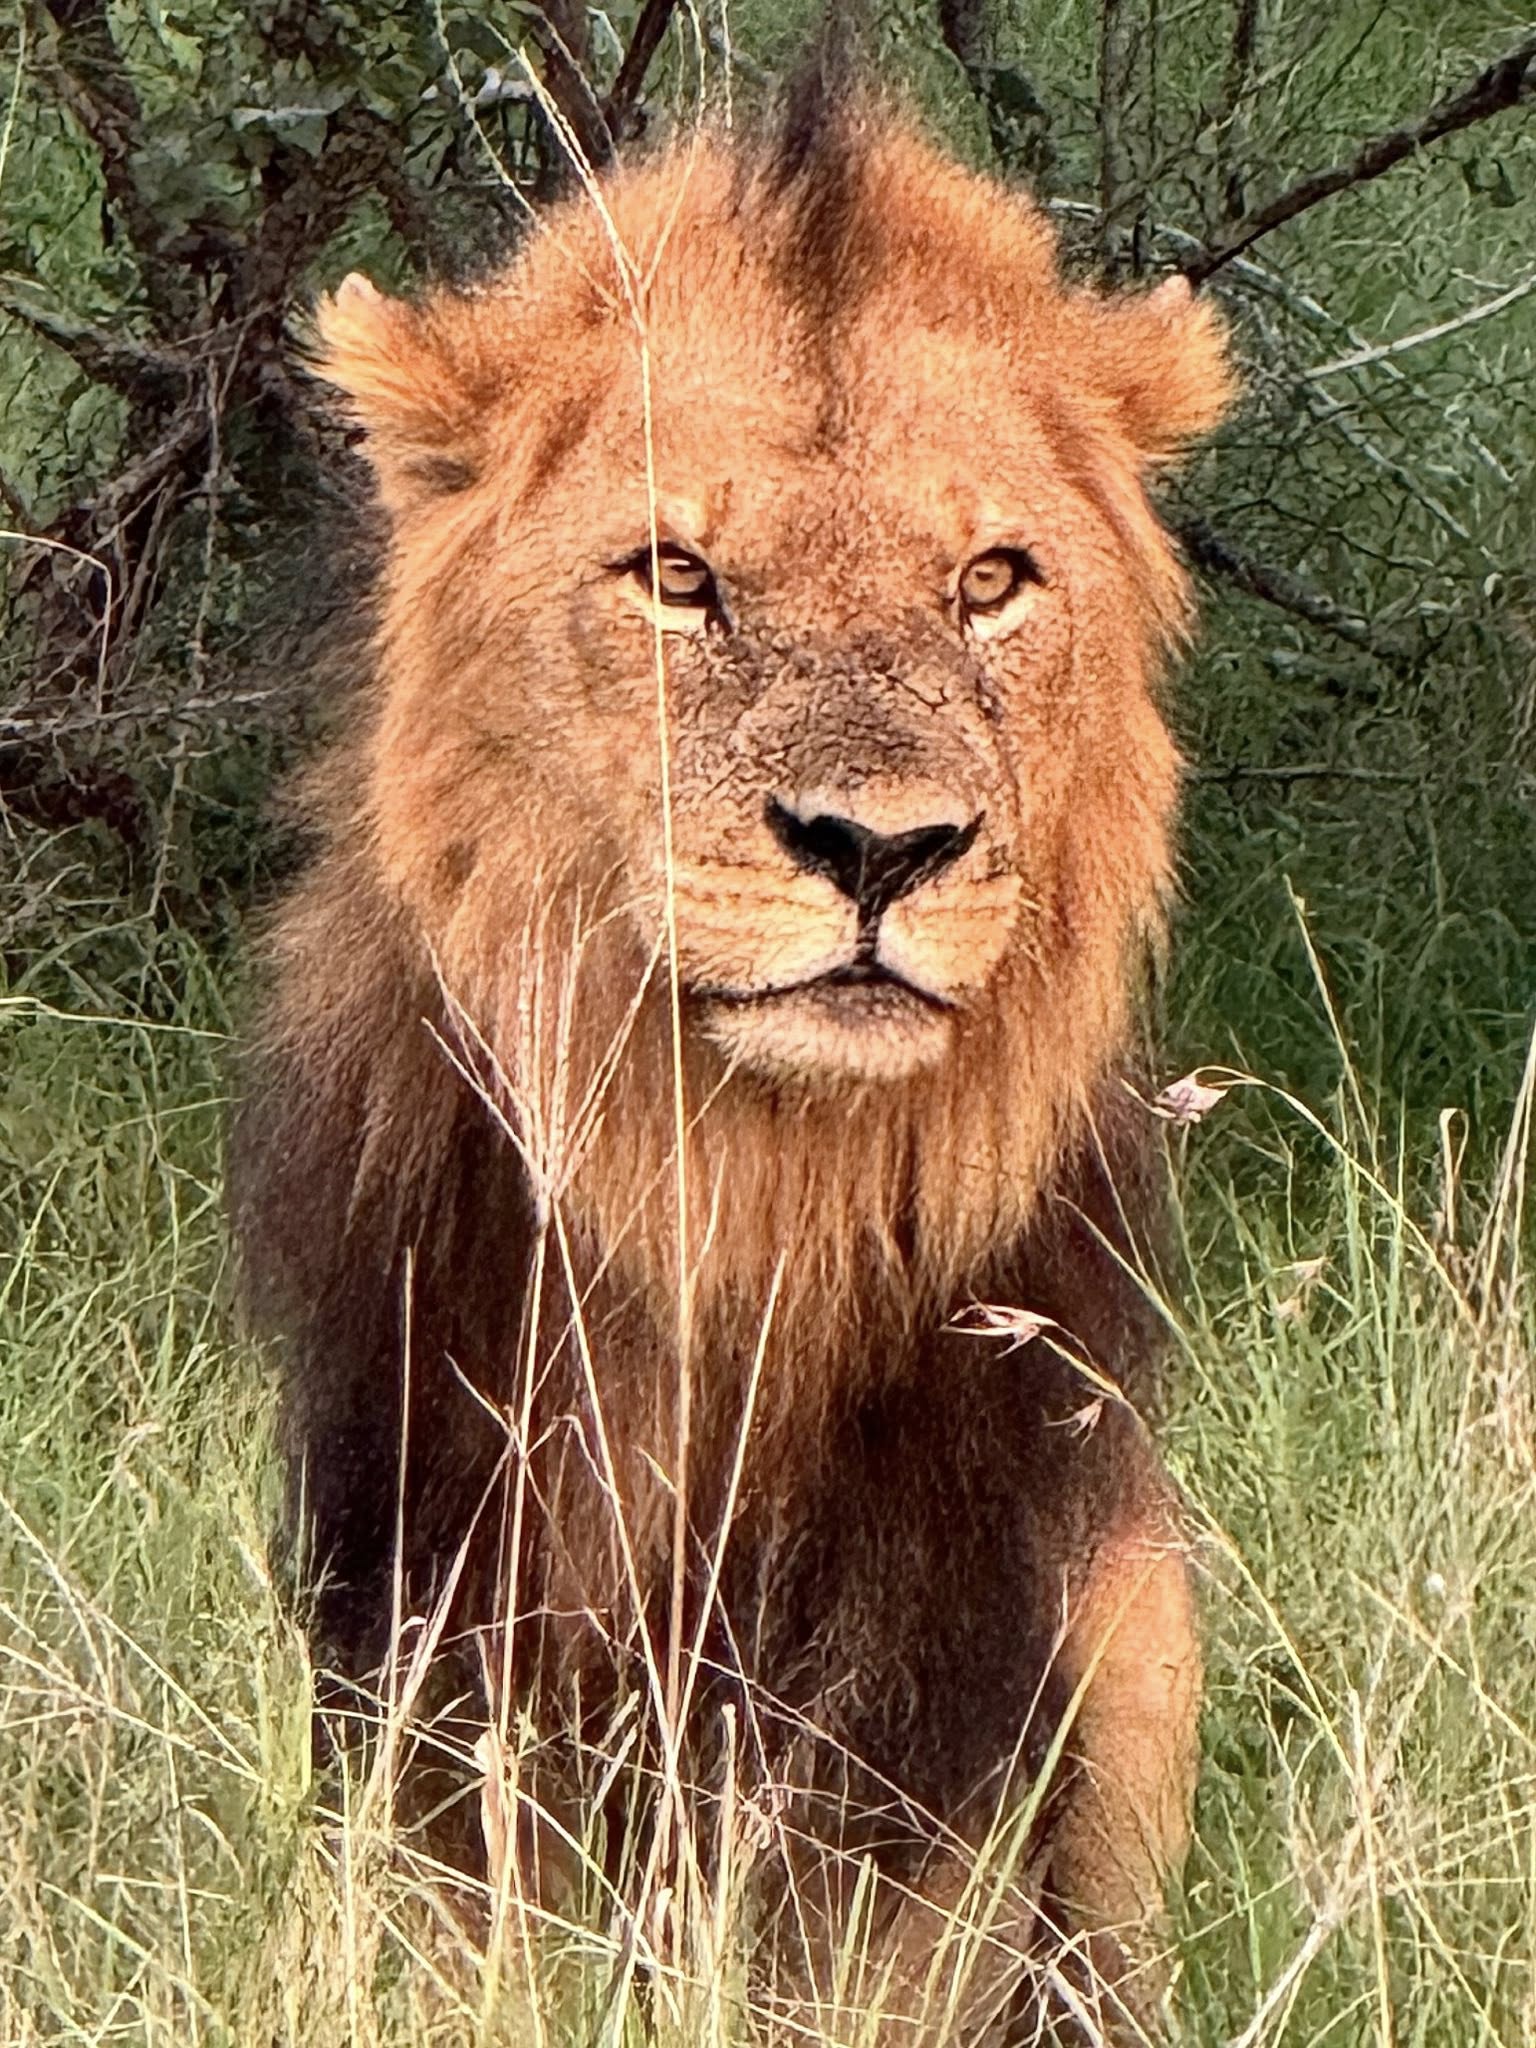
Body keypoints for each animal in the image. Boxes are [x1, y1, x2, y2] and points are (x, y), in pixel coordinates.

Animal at [234, 78, 1232, 2043]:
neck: (753, 1196)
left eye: (990, 579)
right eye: (678, 577)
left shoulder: (935, 1669)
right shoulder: (433, 1590)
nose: (879, 849)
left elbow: (869, 1940)